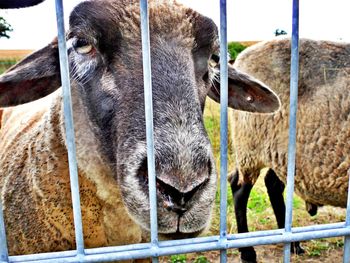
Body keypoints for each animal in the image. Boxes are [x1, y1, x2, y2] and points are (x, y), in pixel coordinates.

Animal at [230, 37, 350, 263]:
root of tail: (243, 56)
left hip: (282, 153)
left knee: (272, 184)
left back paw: (292, 243)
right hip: (250, 145)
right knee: (239, 188)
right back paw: (248, 252)